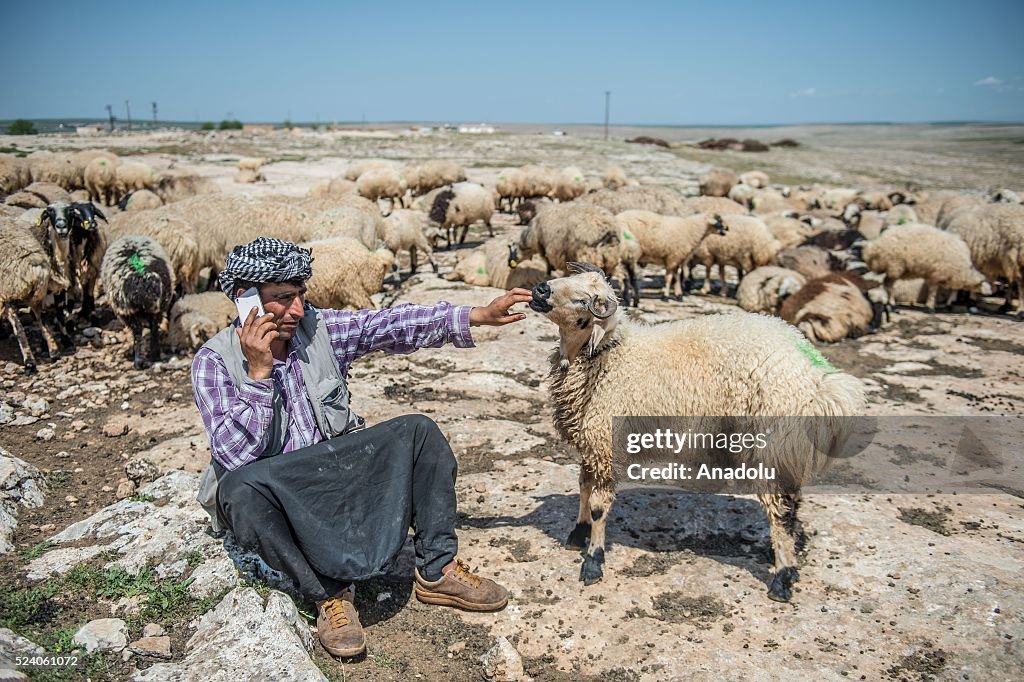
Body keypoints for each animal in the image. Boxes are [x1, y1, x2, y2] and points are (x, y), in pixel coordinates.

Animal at [0, 215, 61, 372]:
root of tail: (36, 262)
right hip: (36, 296)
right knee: (42, 319)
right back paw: (54, 351)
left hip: (7, 290)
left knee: (18, 326)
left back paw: (29, 361)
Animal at [528, 262, 864, 598]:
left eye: (584, 300)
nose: (540, 289)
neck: (609, 356)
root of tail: (818, 379)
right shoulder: (592, 442)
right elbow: (584, 487)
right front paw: (578, 532)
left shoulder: (606, 445)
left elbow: (599, 506)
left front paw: (593, 561)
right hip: (785, 450)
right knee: (791, 503)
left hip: (769, 445)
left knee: (779, 509)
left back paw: (782, 578)